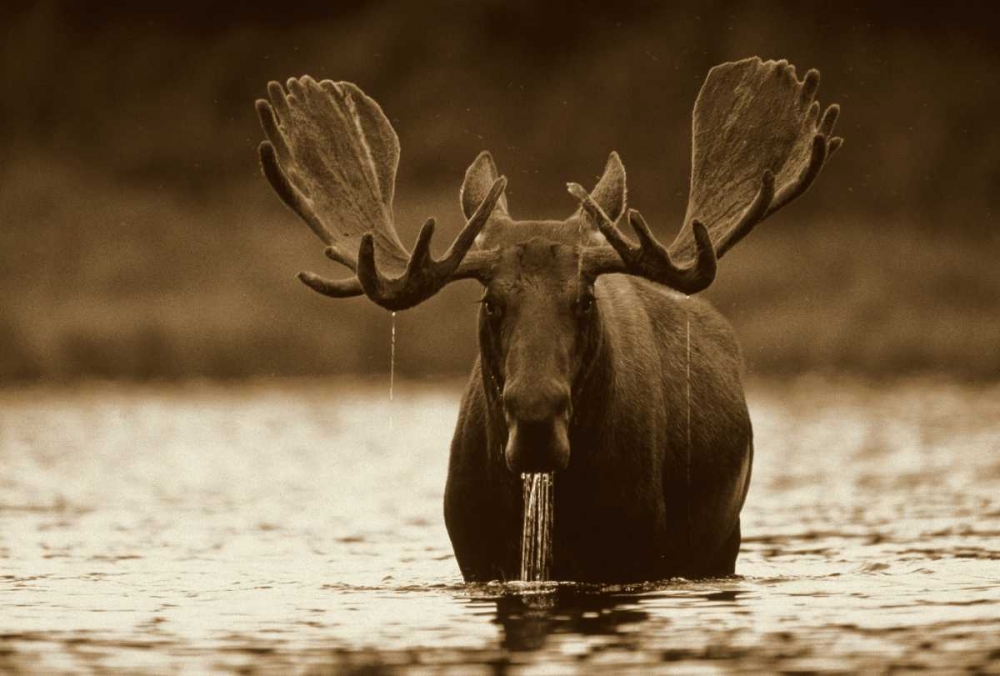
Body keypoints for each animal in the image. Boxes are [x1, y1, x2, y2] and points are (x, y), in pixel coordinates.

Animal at [254, 57, 842, 582]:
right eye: (490, 302)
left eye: (584, 300)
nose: (536, 417)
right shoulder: (475, 555)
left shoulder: (637, 549)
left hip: (725, 539)